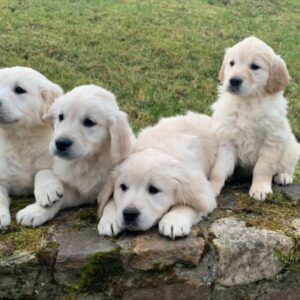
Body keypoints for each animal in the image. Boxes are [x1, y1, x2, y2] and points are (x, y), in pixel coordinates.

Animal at [16, 84, 134, 225]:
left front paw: (111, 220)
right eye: (61, 117)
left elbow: (112, 198)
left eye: (89, 122)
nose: (61, 143)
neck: (88, 161)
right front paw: (35, 211)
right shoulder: (77, 191)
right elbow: (60, 198)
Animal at [209, 37, 300, 202]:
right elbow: (218, 170)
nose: (234, 80)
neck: (247, 103)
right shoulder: (226, 140)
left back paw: (284, 176)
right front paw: (211, 188)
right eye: (232, 63)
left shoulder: (271, 140)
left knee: (287, 166)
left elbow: (263, 168)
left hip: (292, 148)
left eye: (255, 67)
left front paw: (260, 189)